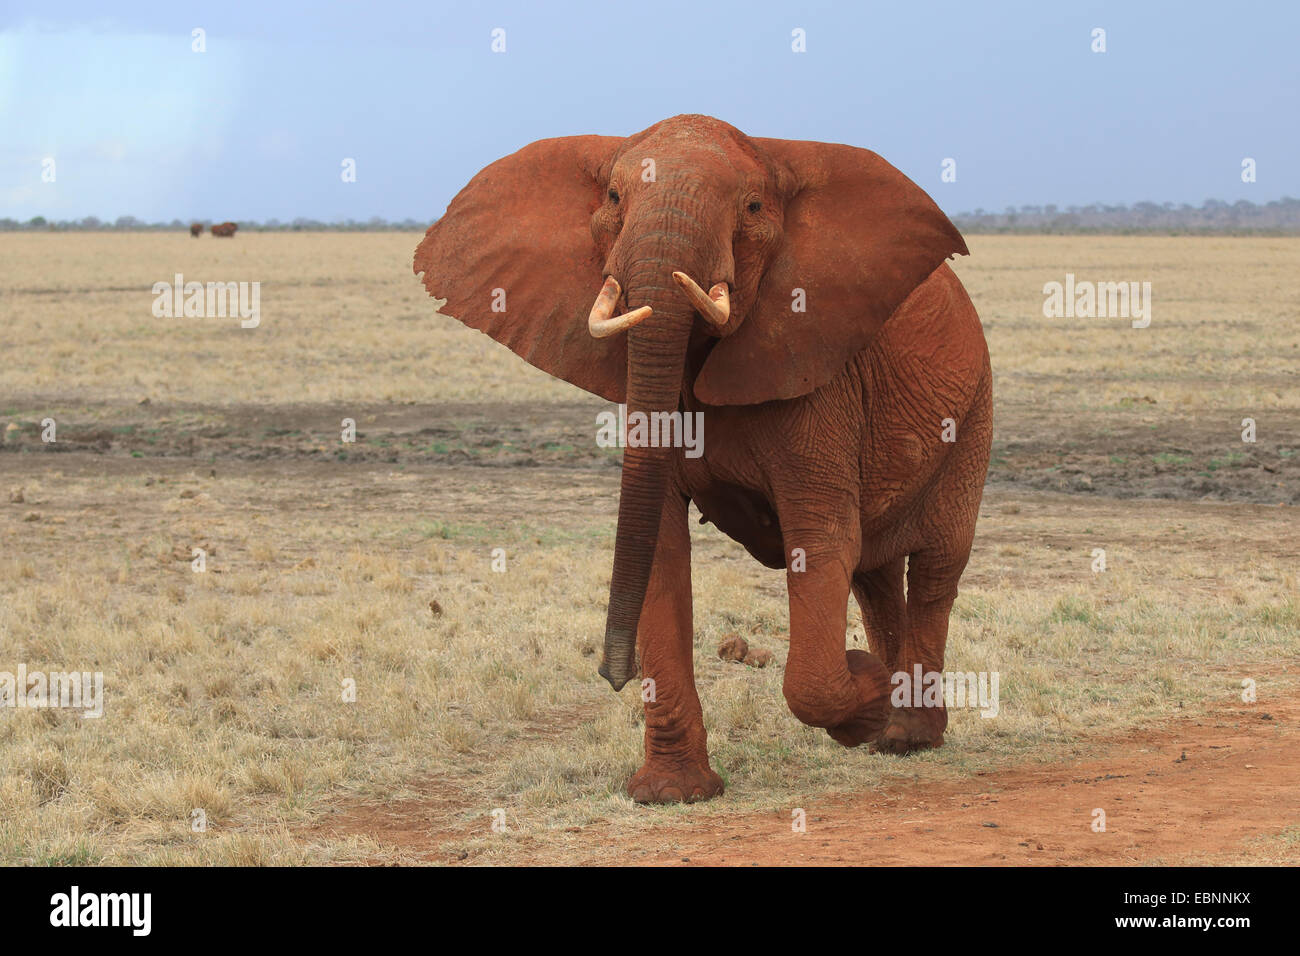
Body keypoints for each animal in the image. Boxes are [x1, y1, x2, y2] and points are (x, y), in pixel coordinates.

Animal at [410, 111, 987, 806]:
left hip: (974, 413)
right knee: (873, 576)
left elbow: (821, 543)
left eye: (754, 207)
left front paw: (864, 690)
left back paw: (904, 736)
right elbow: (658, 546)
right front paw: (671, 794)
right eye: (612, 198)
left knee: (934, 567)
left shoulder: (818, 378)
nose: (612, 673)